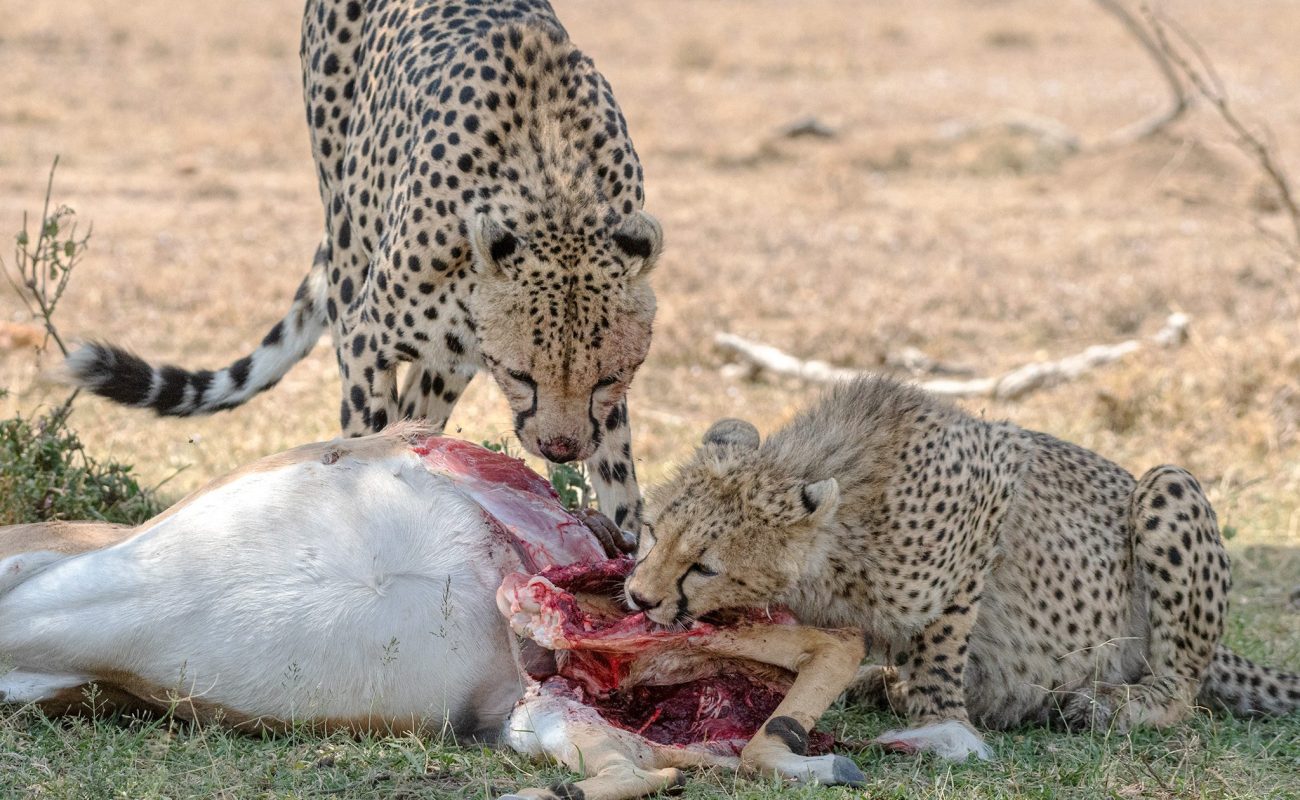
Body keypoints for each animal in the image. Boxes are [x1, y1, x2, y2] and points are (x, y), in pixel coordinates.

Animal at [65, 0, 663, 531]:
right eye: (521, 375)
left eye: (609, 377)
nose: (560, 449)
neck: (559, 191)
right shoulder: (363, 336)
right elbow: (364, 440)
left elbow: (619, 477)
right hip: (345, 225)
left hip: (444, 359)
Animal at [625, 375, 1300, 760]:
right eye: (653, 532)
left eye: (704, 567)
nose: (638, 597)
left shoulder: (992, 485)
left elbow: (943, 635)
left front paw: (940, 718)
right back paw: (880, 682)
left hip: (1167, 484)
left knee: (1182, 686)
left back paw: (1110, 704)